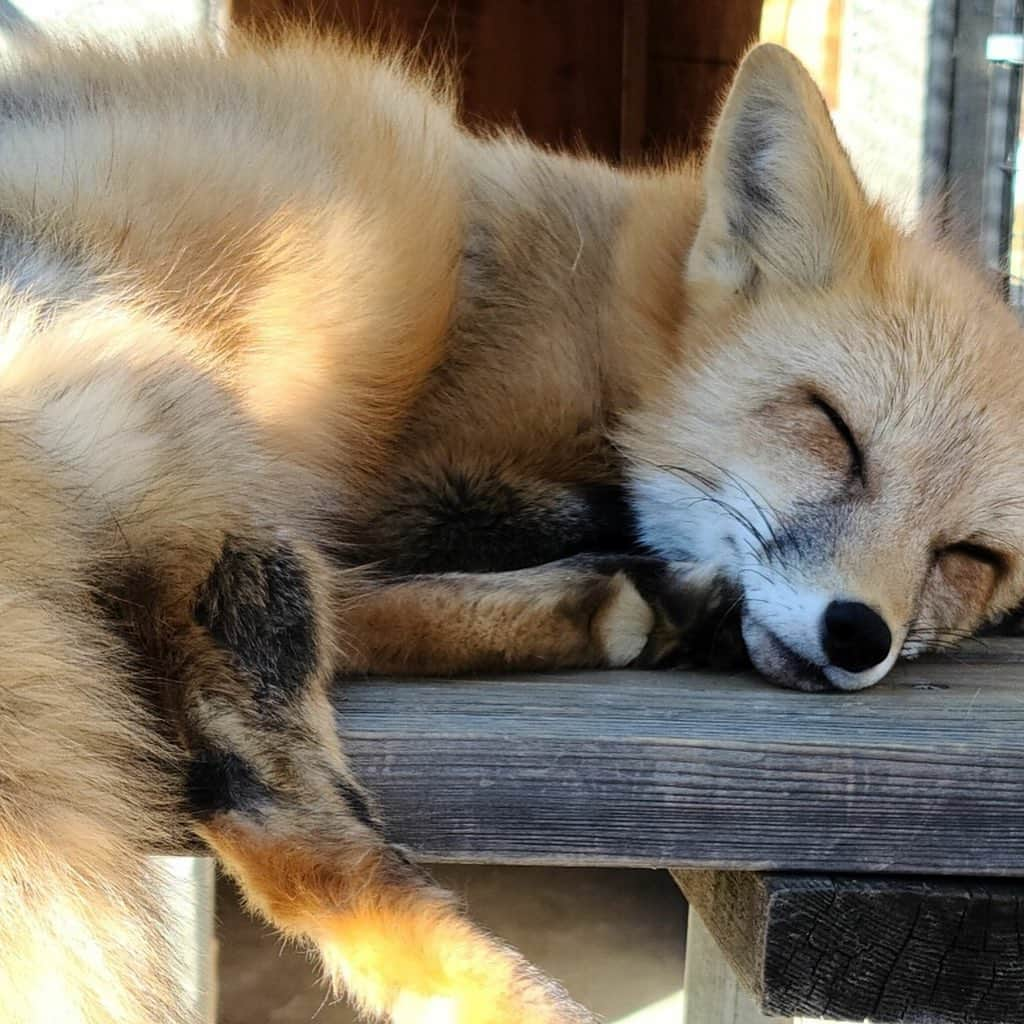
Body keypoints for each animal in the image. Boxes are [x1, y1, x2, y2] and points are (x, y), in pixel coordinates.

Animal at [2, 22, 1024, 1024]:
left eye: (971, 557)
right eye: (833, 428)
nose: (858, 634)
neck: (618, 312)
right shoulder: (423, 478)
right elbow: (590, 508)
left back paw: (620, 613)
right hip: (193, 442)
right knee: (289, 826)